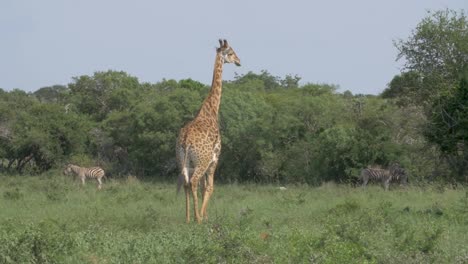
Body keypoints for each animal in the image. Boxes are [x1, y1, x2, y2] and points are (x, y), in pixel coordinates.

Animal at [176, 39, 241, 224]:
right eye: (231, 52)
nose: (239, 61)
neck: (211, 109)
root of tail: (186, 140)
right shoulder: (214, 158)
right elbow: (210, 187)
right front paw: (204, 217)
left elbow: (205, 186)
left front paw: (203, 215)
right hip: (201, 161)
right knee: (194, 182)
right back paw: (197, 219)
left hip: (183, 161)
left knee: (186, 183)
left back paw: (188, 218)